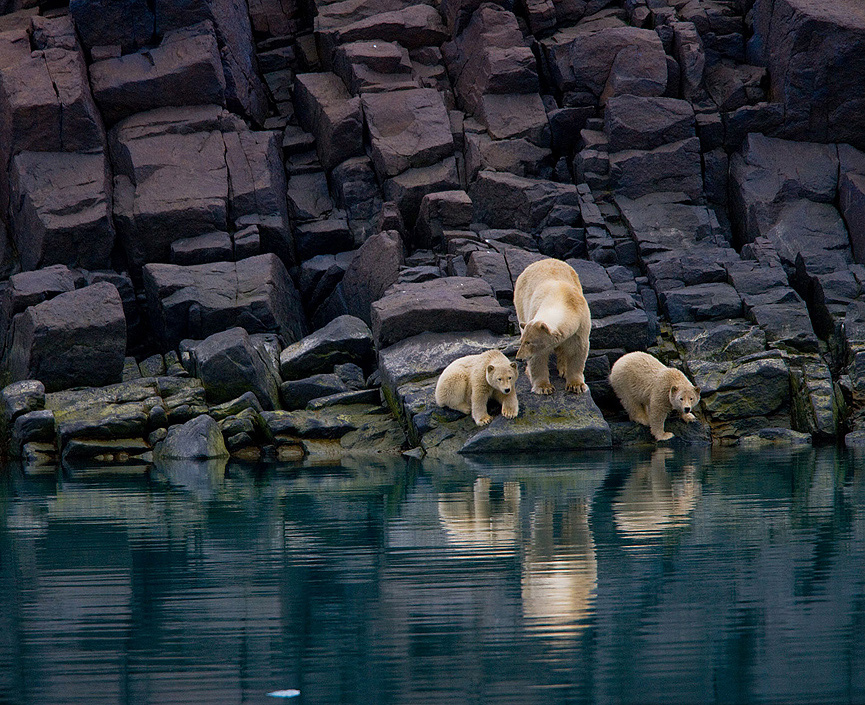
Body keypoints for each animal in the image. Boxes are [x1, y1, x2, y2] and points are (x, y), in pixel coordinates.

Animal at [514, 258, 592, 395]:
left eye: (529, 342)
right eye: (522, 341)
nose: (519, 358)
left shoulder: (580, 324)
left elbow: (578, 350)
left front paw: (576, 385)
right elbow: (538, 357)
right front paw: (544, 387)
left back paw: (564, 369)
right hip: (520, 302)